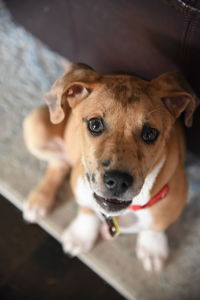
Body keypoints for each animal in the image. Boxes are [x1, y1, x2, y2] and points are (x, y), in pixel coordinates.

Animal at [23, 62, 198, 272]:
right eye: (94, 124)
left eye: (150, 134)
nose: (118, 181)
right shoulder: (81, 184)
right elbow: (87, 210)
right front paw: (81, 235)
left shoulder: (175, 197)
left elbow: (157, 225)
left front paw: (152, 248)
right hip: (35, 125)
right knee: (59, 164)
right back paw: (40, 199)